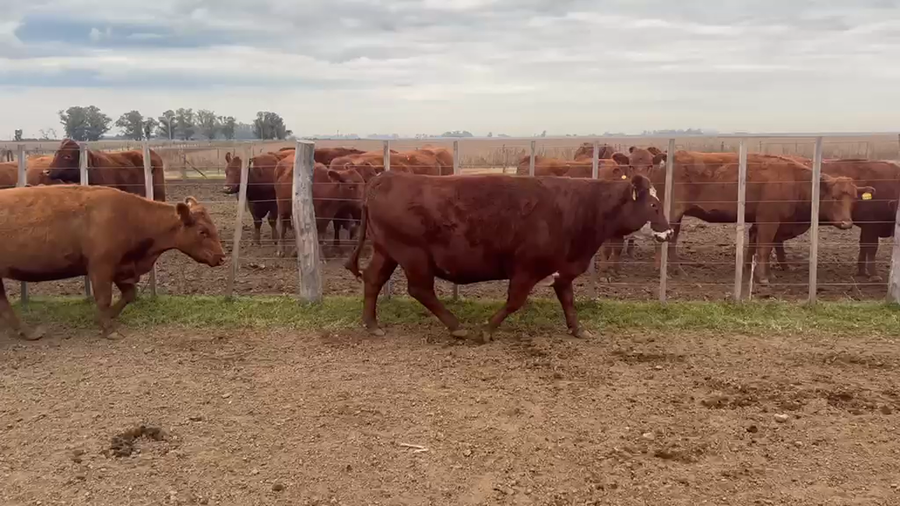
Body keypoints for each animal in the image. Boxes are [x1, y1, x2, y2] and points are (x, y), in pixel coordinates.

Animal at [0, 186, 224, 340]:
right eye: (202, 231)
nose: (221, 256)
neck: (129, 217)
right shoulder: (101, 268)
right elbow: (104, 298)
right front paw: (108, 329)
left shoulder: (122, 268)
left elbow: (130, 294)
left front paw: (107, 317)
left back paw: (27, 332)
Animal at [344, 172, 674, 342]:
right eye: (654, 205)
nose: (669, 232)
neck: (577, 207)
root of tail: (386, 177)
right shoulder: (526, 267)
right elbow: (515, 301)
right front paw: (487, 329)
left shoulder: (563, 267)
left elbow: (567, 298)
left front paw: (577, 329)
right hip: (413, 255)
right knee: (420, 289)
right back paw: (456, 326)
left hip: (387, 252)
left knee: (373, 280)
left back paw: (371, 324)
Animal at [621, 149, 870, 285]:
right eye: (835, 197)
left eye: (854, 198)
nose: (846, 223)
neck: (795, 180)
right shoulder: (769, 221)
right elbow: (764, 248)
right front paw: (763, 277)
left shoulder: (759, 222)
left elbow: (755, 246)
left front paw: (753, 271)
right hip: (671, 213)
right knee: (663, 241)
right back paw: (661, 270)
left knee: (672, 241)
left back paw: (676, 269)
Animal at [749, 159, 900, 281]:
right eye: (833, 197)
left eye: (855, 199)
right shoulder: (871, 224)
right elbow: (871, 248)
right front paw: (874, 275)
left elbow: (864, 247)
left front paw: (862, 271)